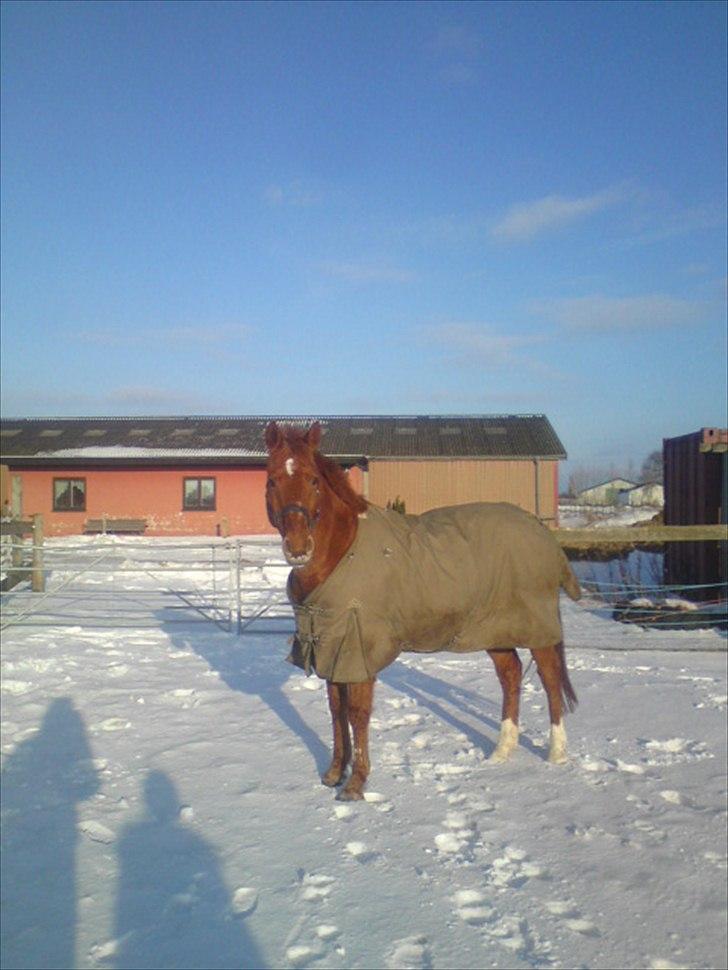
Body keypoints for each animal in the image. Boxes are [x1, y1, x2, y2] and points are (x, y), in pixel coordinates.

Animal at [264, 420, 584, 796]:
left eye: (314, 480)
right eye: (272, 479)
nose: (298, 548)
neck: (341, 552)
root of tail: (539, 529)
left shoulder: (357, 651)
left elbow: (357, 713)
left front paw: (356, 783)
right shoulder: (331, 650)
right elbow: (335, 710)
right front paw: (333, 774)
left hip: (537, 630)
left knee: (549, 680)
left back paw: (556, 754)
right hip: (495, 632)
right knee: (511, 676)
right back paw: (502, 752)